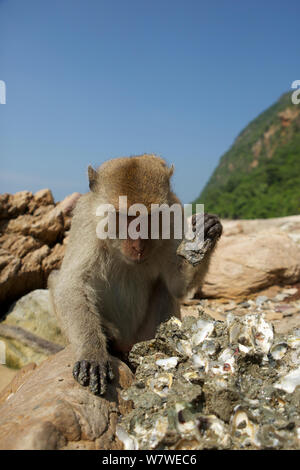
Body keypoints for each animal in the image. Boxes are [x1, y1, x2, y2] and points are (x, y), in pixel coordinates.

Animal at [48, 155, 223, 396]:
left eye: (151, 217)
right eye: (125, 217)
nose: (138, 246)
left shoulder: (173, 215)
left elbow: (177, 285)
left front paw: (207, 231)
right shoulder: (85, 222)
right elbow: (72, 284)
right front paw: (92, 353)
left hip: (142, 337)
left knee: (164, 289)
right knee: (56, 278)